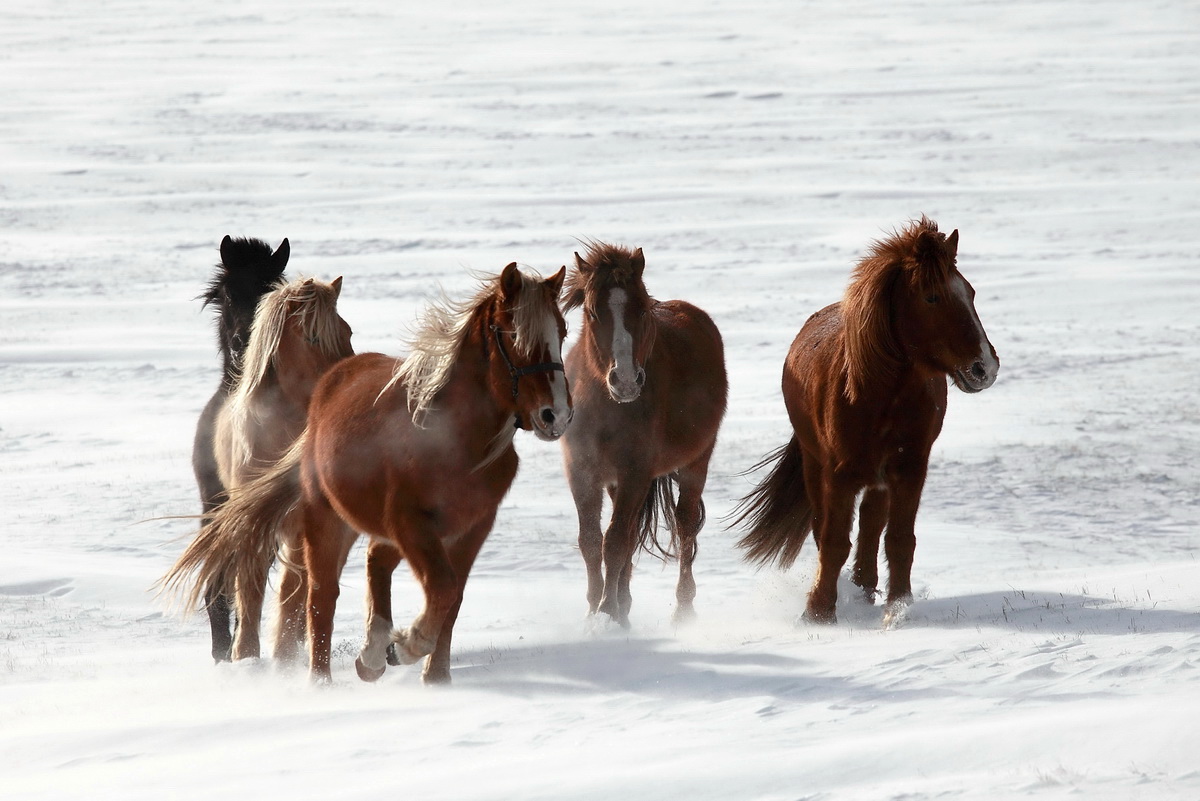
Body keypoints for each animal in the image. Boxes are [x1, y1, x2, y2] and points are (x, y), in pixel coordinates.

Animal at [164, 262, 571, 681]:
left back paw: (370, 655)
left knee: (369, 564)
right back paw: (322, 679)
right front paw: (407, 646)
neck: (454, 440)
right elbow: (441, 587)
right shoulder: (408, 521)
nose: (554, 415)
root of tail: (333, 380)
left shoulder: (471, 528)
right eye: (512, 333)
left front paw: (435, 676)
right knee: (320, 595)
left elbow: (452, 597)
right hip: (327, 520)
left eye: (563, 331)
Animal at [556, 244, 724, 623]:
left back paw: (683, 609)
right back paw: (625, 603)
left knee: (685, 525)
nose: (626, 381)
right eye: (592, 312)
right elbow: (591, 541)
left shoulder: (635, 472)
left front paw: (606, 613)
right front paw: (597, 611)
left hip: (695, 462)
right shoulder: (582, 471)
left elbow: (615, 541)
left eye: (643, 308)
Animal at [729, 219, 1003, 623]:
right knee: (825, 528)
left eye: (969, 292)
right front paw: (819, 612)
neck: (879, 397)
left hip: (879, 477)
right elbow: (833, 541)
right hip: (816, 465)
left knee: (872, 525)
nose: (984, 367)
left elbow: (899, 539)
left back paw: (864, 589)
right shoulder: (838, 474)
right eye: (932, 297)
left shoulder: (910, 469)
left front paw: (899, 608)